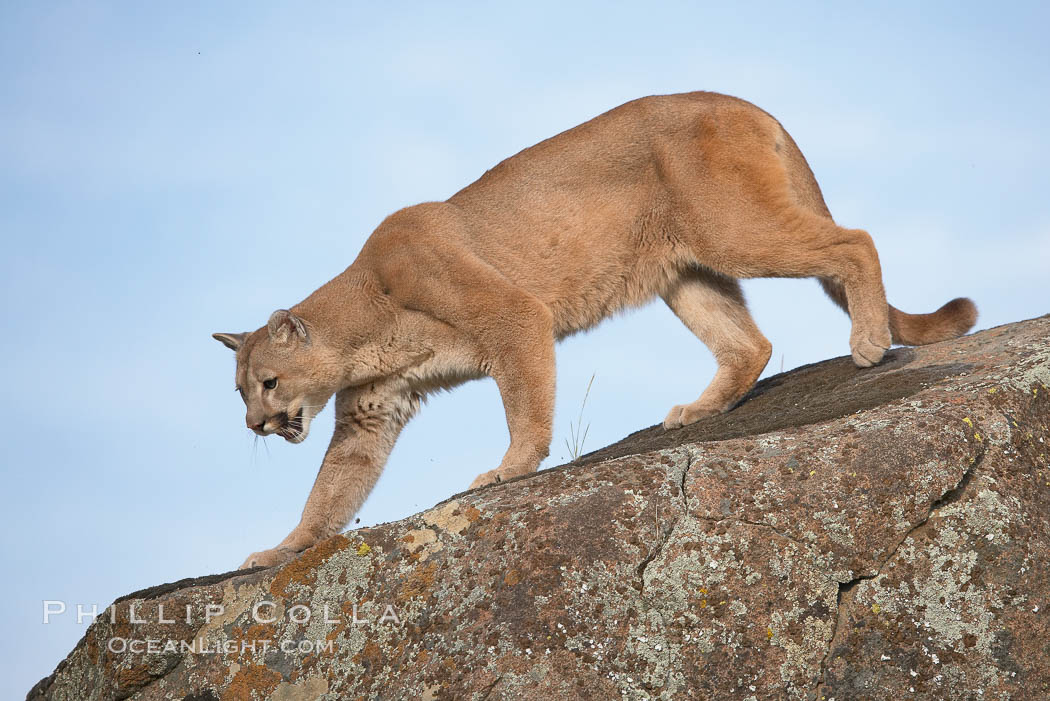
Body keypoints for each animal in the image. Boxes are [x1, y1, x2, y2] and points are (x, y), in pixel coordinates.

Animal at [213, 90, 974, 570]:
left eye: (268, 382)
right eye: (241, 392)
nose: (256, 425)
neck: (364, 322)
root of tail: (741, 100)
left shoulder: (513, 316)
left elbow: (525, 406)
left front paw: (508, 469)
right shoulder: (371, 413)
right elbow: (328, 495)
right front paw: (278, 551)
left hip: (732, 230)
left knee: (855, 241)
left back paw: (869, 343)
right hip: (685, 271)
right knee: (750, 343)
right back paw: (700, 409)